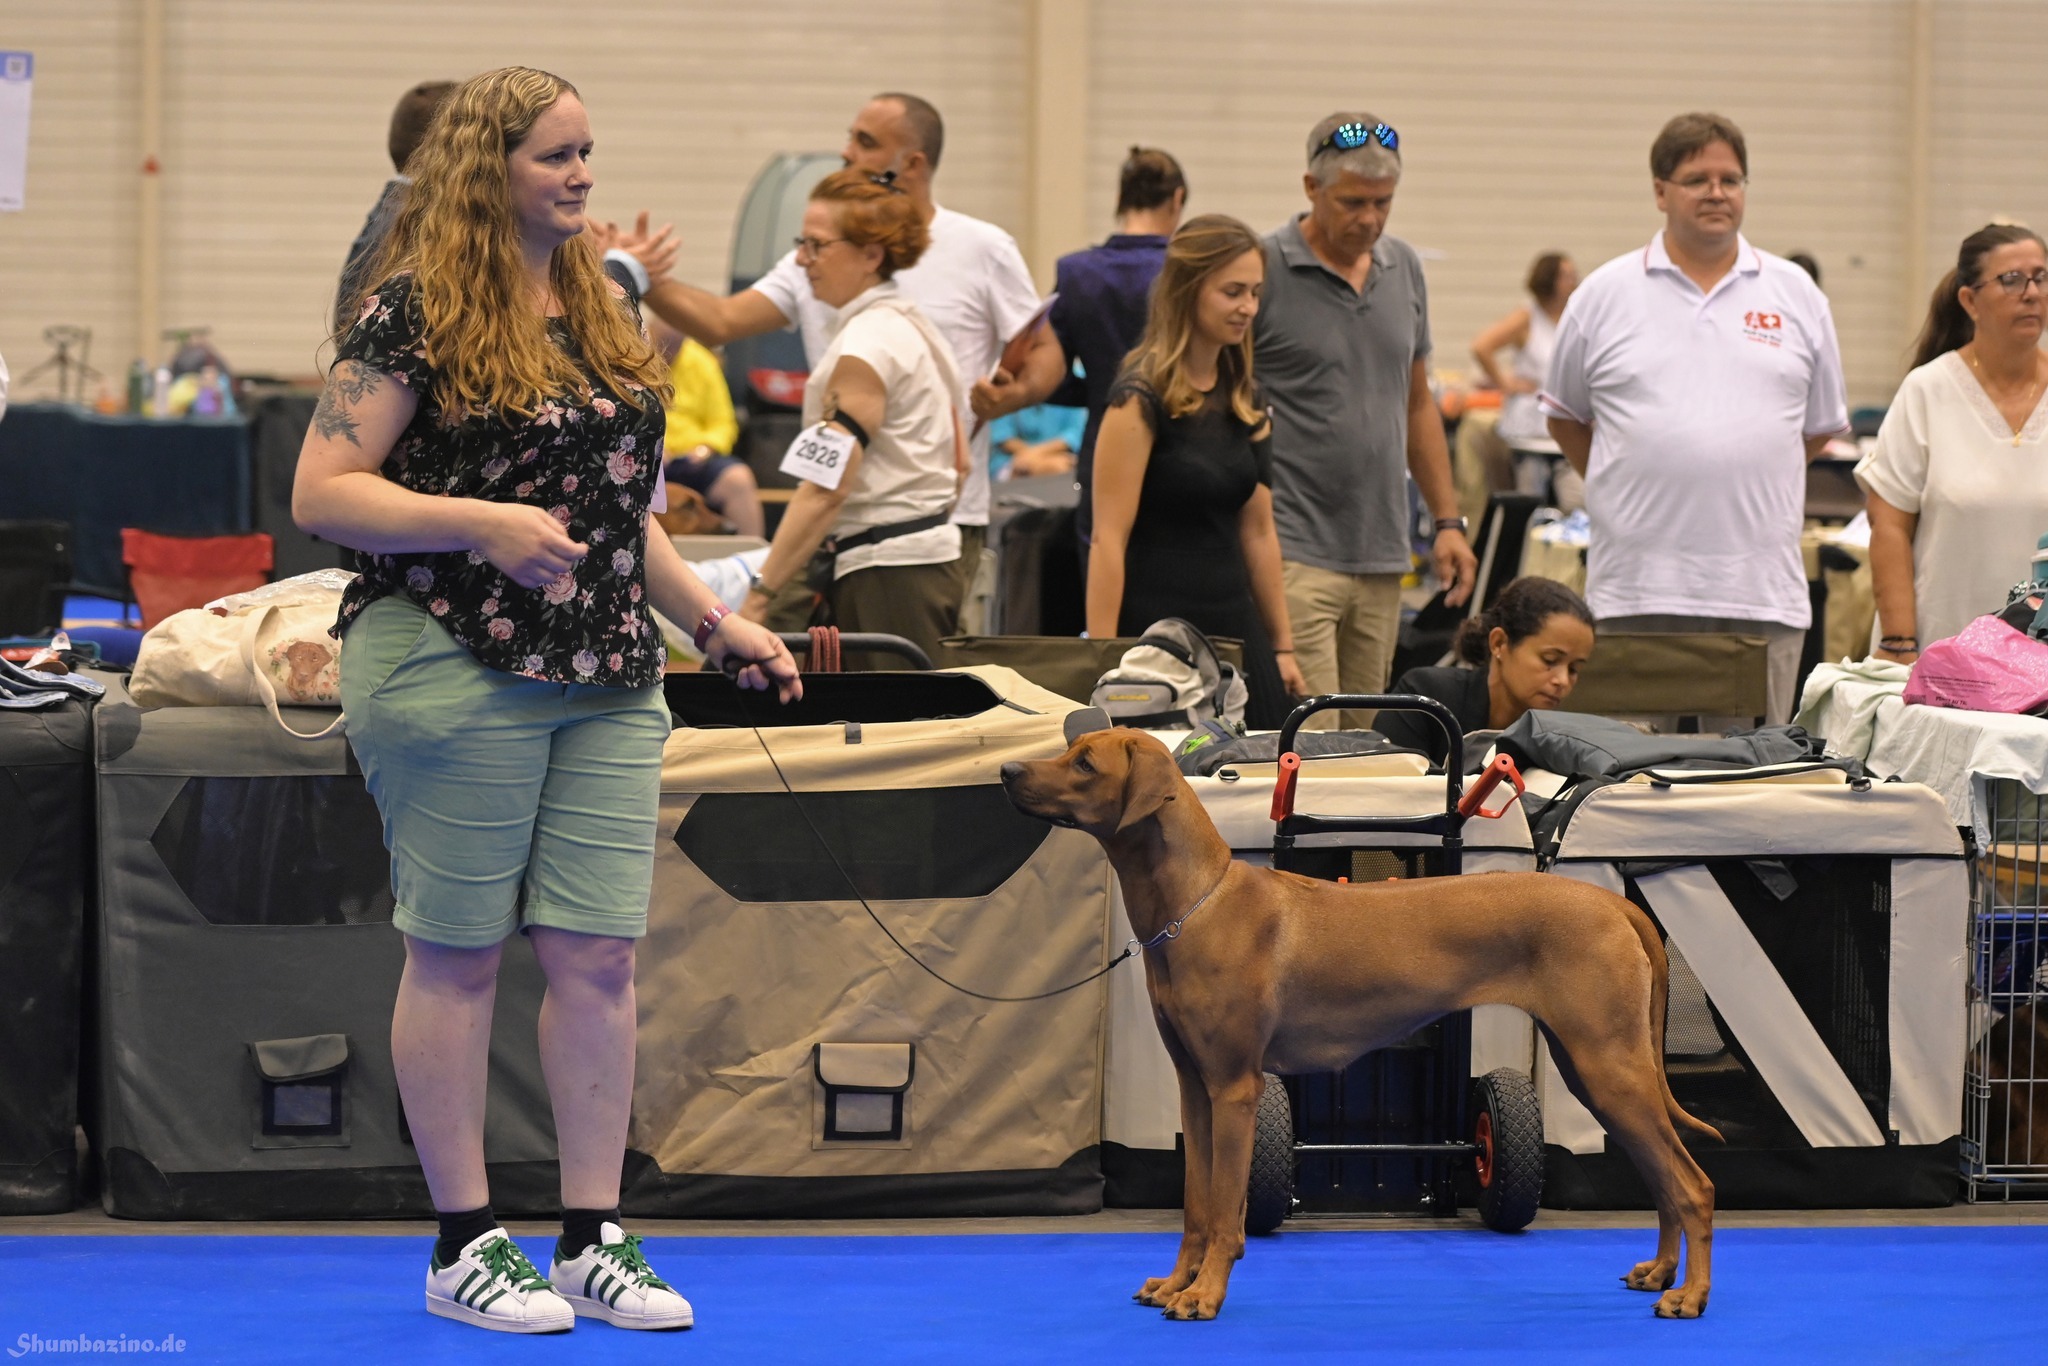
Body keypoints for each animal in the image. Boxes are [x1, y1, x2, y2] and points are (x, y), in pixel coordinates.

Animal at [999, 733, 1720, 1318]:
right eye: (1070, 751)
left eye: (1084, 763)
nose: (1007, 770)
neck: (1196, 903)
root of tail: (1611, 904)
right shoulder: (1194, 1089)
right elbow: (1197, 1205)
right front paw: (1178, 1284)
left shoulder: (1235, 1089)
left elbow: (1226, 1209)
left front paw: (1206, 1296)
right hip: (1596, 1071)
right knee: (1664, 1178)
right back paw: (1659, 1273)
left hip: (1609, 1065)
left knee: (1693, 1184)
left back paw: (1689, 1295)